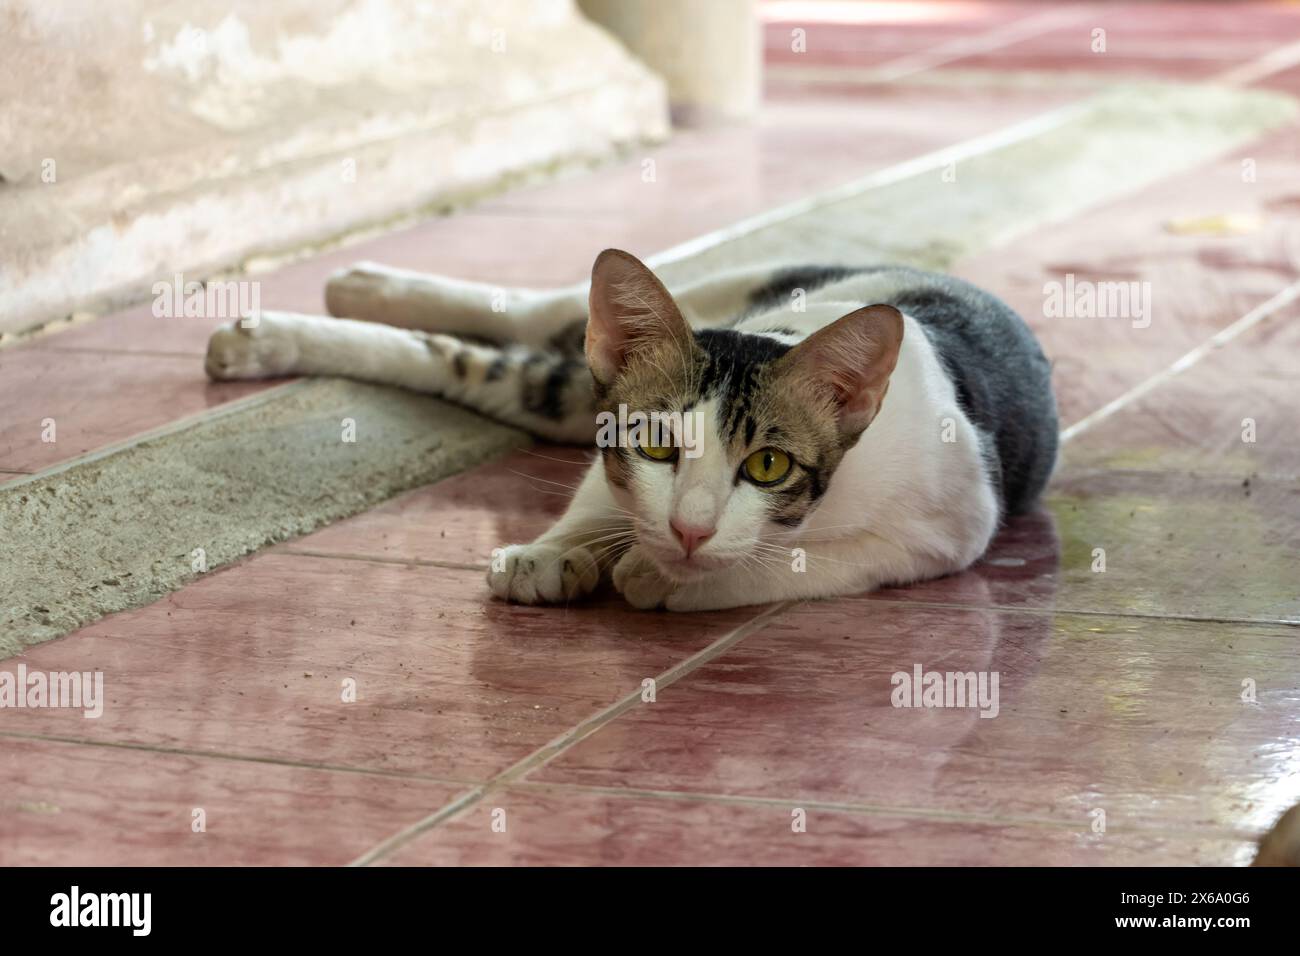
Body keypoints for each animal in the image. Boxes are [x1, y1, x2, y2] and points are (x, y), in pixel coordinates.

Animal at [205, 251, 1055, 608]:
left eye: (769, 467)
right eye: (656, 444)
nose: (688, 531)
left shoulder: (946, 528)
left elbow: (805, 560)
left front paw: (663, 576)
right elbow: (602, 489)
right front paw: (554, 552)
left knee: (491, 365)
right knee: (531, 315)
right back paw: (336, 296)